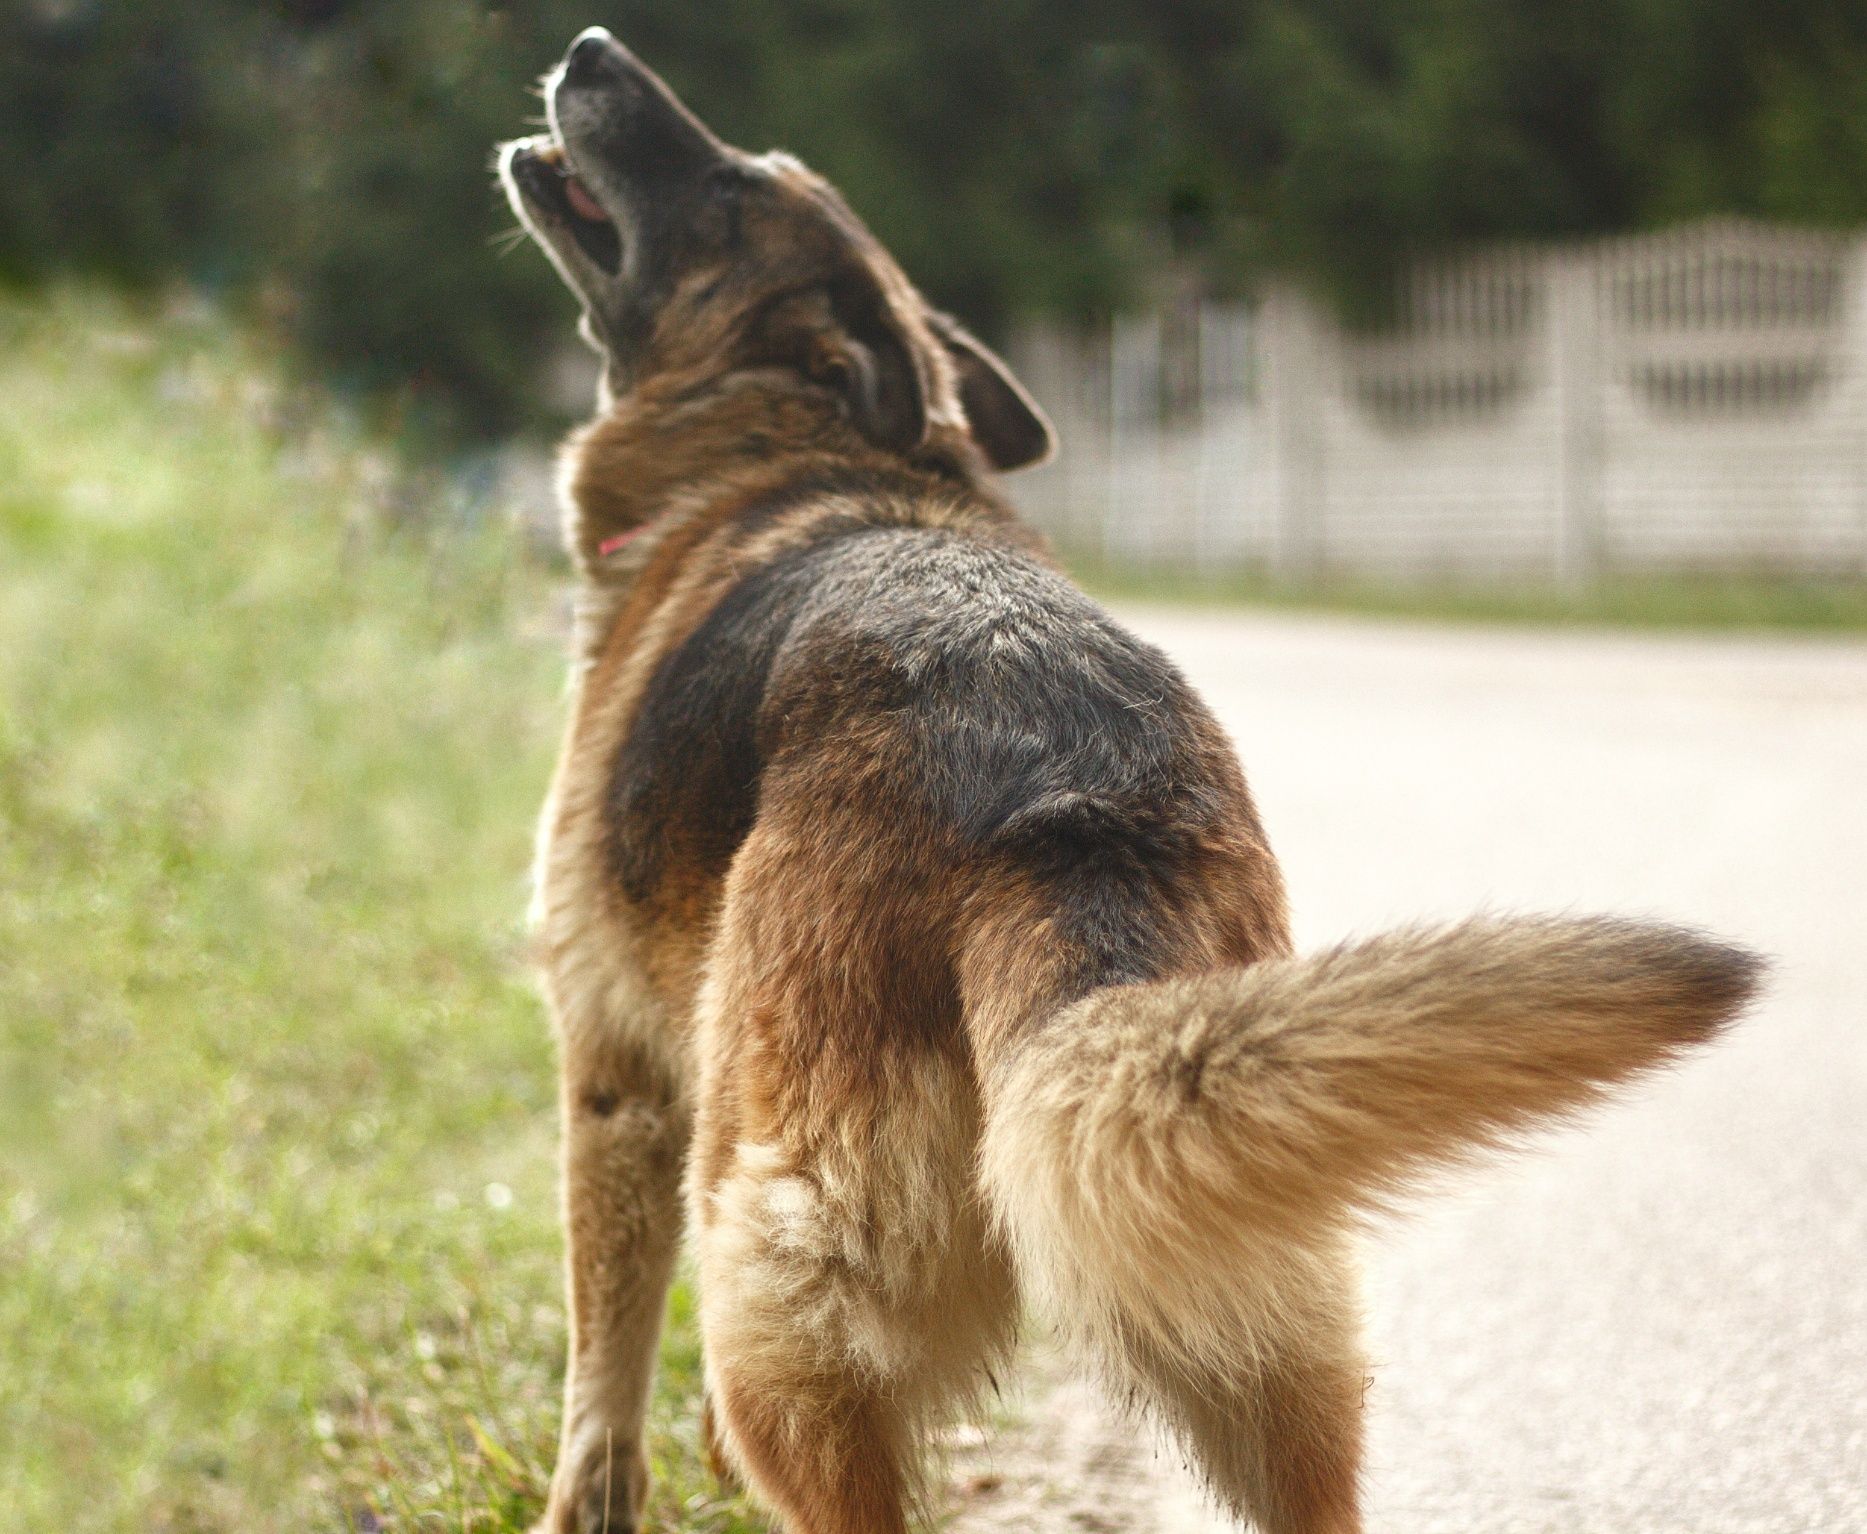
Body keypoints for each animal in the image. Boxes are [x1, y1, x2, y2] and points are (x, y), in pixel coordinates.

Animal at [496, 27, 1762, 1534]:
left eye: (733, 187)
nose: (587, 48)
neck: (798, 440)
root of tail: (1057, 788)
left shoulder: (616, 1081)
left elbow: (603, 1369)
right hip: (1254, 1280)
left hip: (781, 1294)